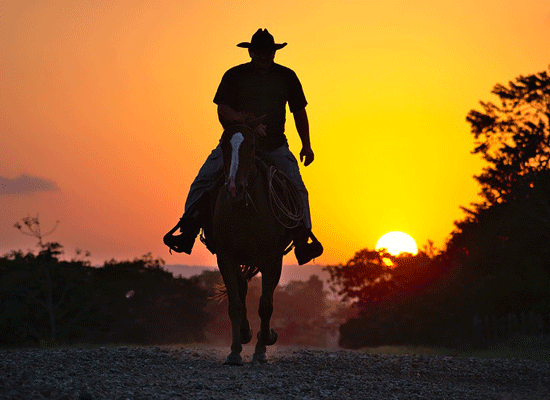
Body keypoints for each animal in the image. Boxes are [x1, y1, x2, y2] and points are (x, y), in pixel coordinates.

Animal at [212, 120, 298, 364]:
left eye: (251, 146)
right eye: (224, 146)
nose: (234, 188)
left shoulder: (272, 259)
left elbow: (265, 306)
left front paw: (262, 347)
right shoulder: (226, 257)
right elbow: (235, 304)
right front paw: (234, 351)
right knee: (241, 290)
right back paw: (244, 333)